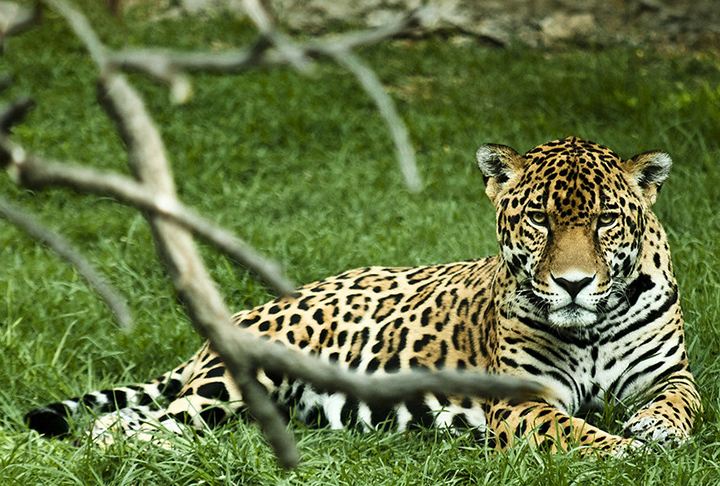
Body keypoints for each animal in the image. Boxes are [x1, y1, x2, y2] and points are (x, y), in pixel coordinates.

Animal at [25, 136, 701, 454]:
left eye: (606, 221)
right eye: (538, 219)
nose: (573, 284)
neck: (591, 327)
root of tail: (244, 313)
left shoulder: (671, 371)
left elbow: (682, 401)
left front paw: (655, 429)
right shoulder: (523, 400)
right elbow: (578, 434)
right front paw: (626, 453)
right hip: (240, 380)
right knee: (140, 419)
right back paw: (128, 445)